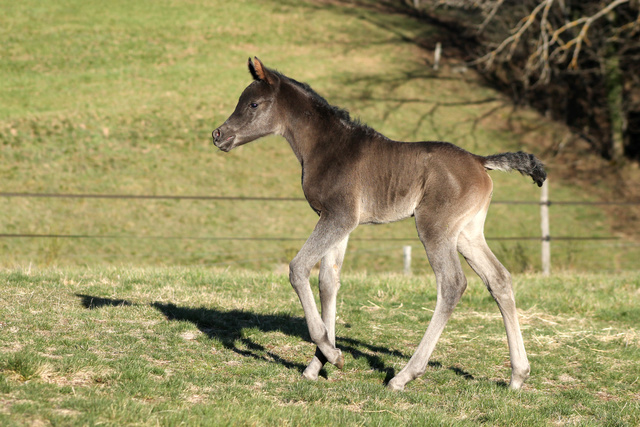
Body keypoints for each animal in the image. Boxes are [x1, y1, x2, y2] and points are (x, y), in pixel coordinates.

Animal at [215, 57, 544, 392]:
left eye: (253, 104)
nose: (218, 135)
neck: (326, 146)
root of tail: (480, 160)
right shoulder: (336, 220)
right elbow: (328, 282)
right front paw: (319, 362)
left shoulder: (339, 216)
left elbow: (298, 269)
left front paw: (331, 354)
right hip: (468, 233)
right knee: (499, 279)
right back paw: (518, 375)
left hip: (435, 228)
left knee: (452, 284)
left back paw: (404, 376)